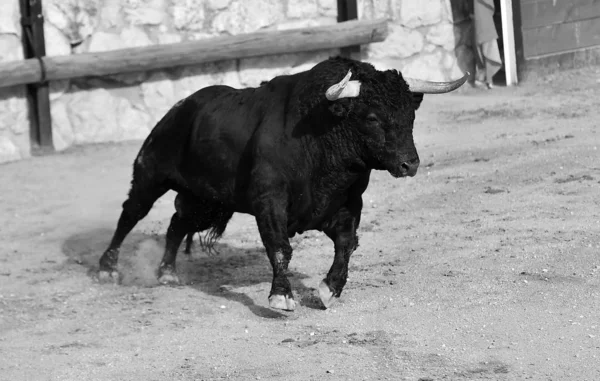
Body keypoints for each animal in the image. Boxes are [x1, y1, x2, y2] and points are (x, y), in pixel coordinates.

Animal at [98, 57, 468, 312]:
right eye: (372, 117)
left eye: (411, 115)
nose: (410, 164)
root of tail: (180, 108)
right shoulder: (269, 200)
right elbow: (280, 247)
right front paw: (281, 296)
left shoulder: (348, 203)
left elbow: (347, 244)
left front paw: (329, 290)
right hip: (151, 174)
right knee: (130, 214)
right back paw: (108, 269)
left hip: (205, 200)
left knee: (176, 224)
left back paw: (167, 273)